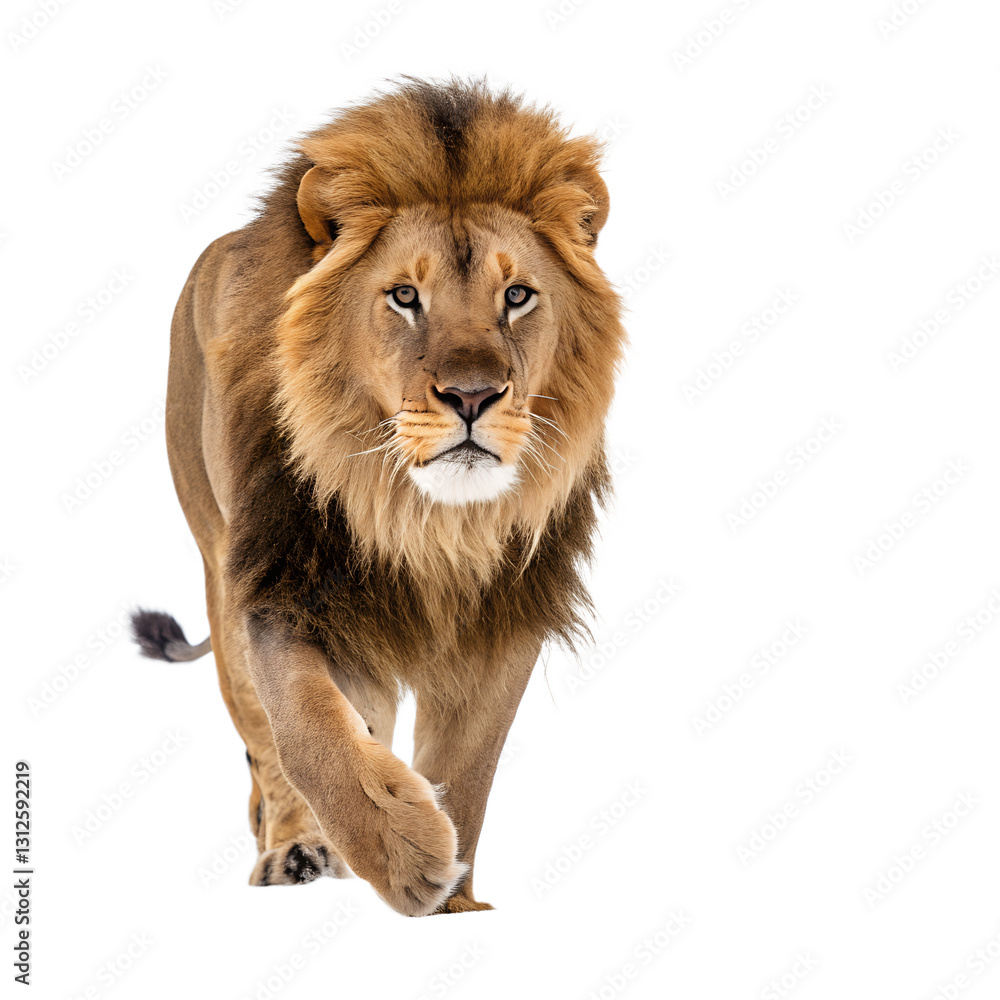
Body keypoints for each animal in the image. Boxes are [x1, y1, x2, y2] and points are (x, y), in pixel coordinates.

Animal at [132, 77, 626, 916]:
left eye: (517, 295)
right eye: (403, 296)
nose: (471, 396)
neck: (422, 518)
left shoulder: (506, 612)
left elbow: (468, 768)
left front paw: (455, 895)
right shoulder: (278, 587)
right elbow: (310, 735)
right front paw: (405, 858)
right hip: (218, 568)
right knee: (266, 750)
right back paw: (294, 850)